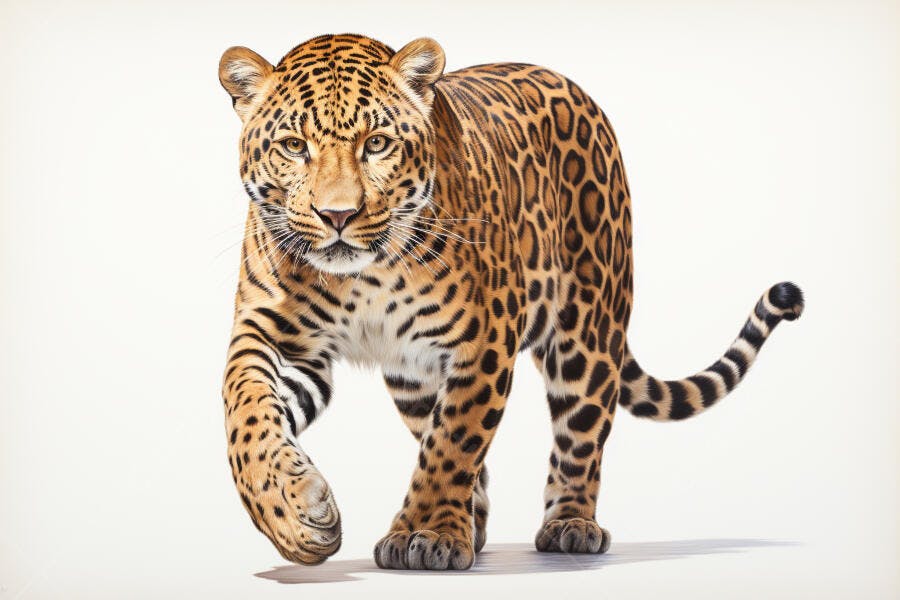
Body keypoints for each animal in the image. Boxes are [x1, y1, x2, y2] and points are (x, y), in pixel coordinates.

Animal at [218, 33, 804, 570]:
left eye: (377, 144)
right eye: (294, 146)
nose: (337, 215)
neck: (361, 278)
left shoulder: (483, 338)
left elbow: (453, 443)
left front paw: (428, 532)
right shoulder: (277, 337)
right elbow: (246, 413)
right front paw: (293, 515)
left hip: (588, 329)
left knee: (580, 433)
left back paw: (570, 526)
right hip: (413, 378)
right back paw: (474, 526)